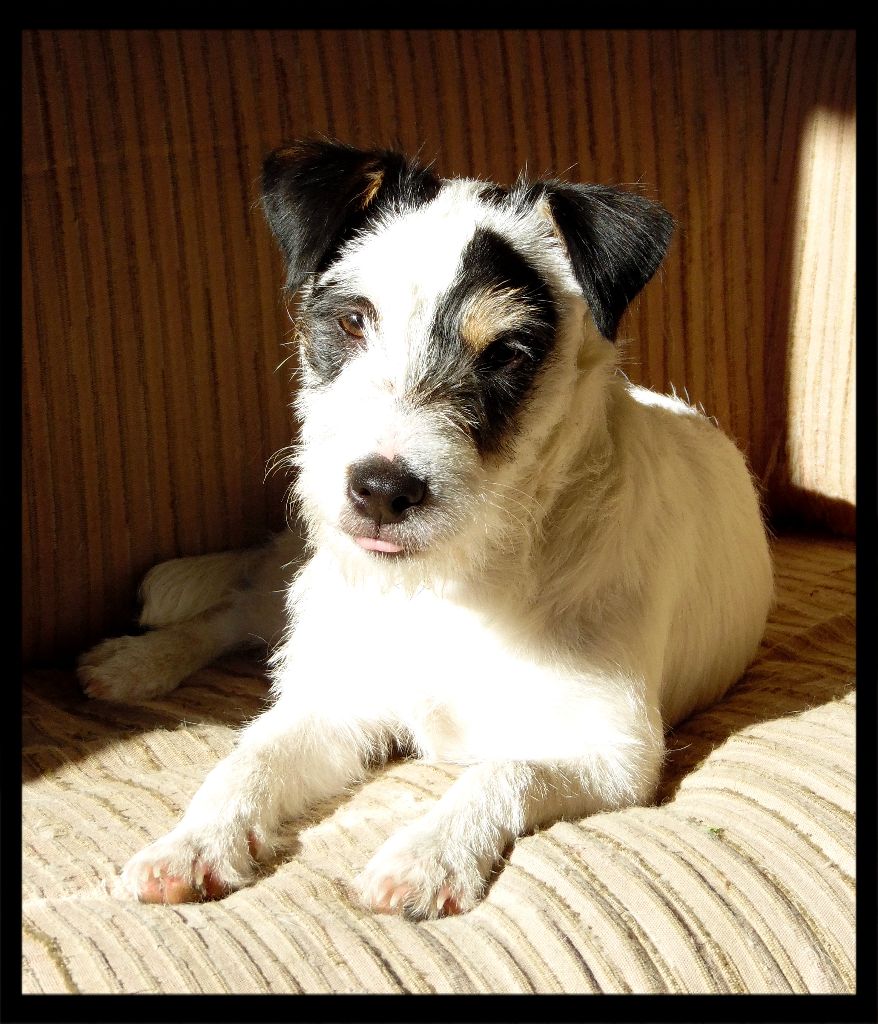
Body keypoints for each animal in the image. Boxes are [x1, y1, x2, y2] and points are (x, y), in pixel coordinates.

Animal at [78, 138, 770, 921]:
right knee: (236, 609)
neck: (452, 582)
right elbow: (248, 758)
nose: (380, 491)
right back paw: (138, 660)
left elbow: (502, 771)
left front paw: (428, 855)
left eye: (506, 354)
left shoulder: (613, 753)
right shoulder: (337, 700)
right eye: (353, 322)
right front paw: (192, 843)